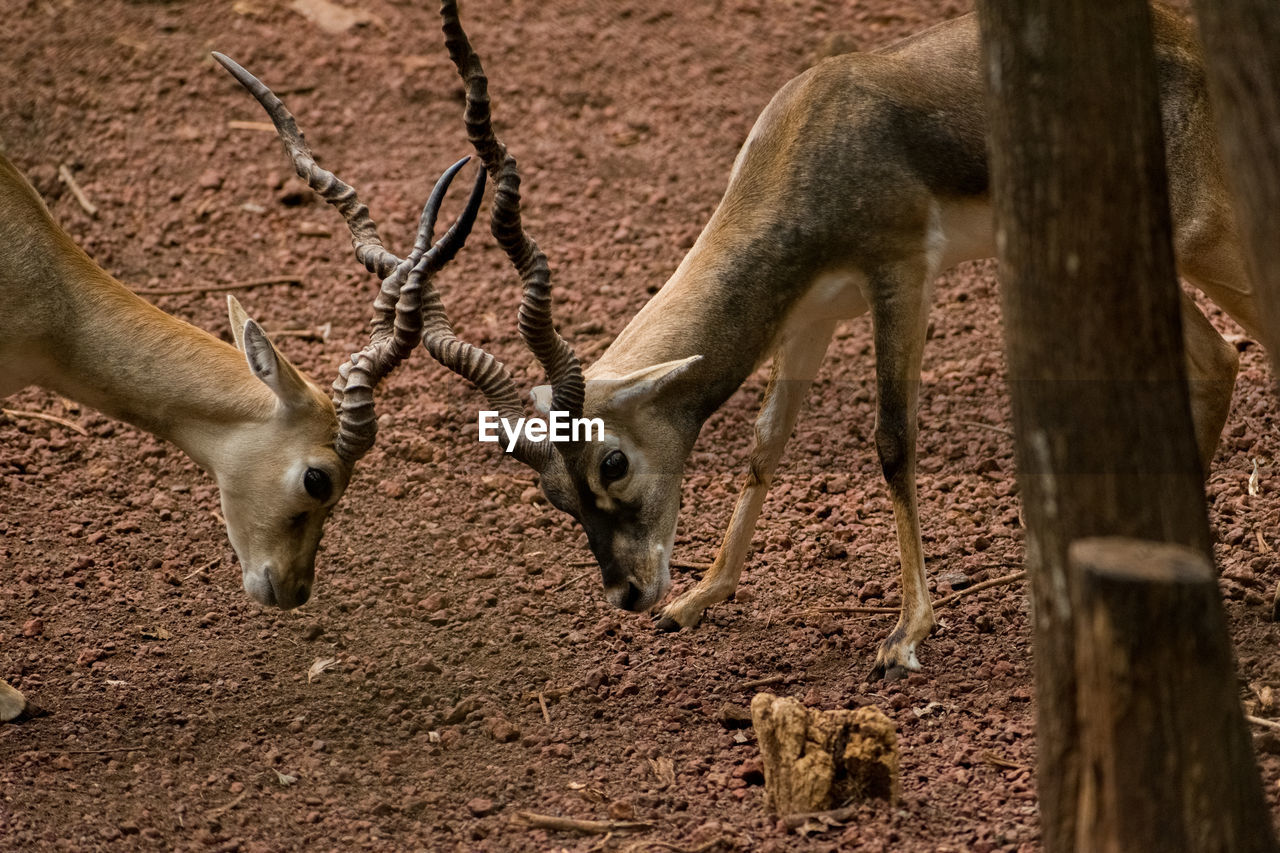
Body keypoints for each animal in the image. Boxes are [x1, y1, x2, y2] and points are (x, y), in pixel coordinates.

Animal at [424, 3, 1264, 676]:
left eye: (613, 461)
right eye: (553, 494)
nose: (629, 591)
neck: (813, 139)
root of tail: (1186, 38)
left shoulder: (901, 274)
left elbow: (893, 440)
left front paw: (906, 633)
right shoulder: (811, 318)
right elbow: (765, 444)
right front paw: (701, 596)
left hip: (1208, 246)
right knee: (1219, 358)